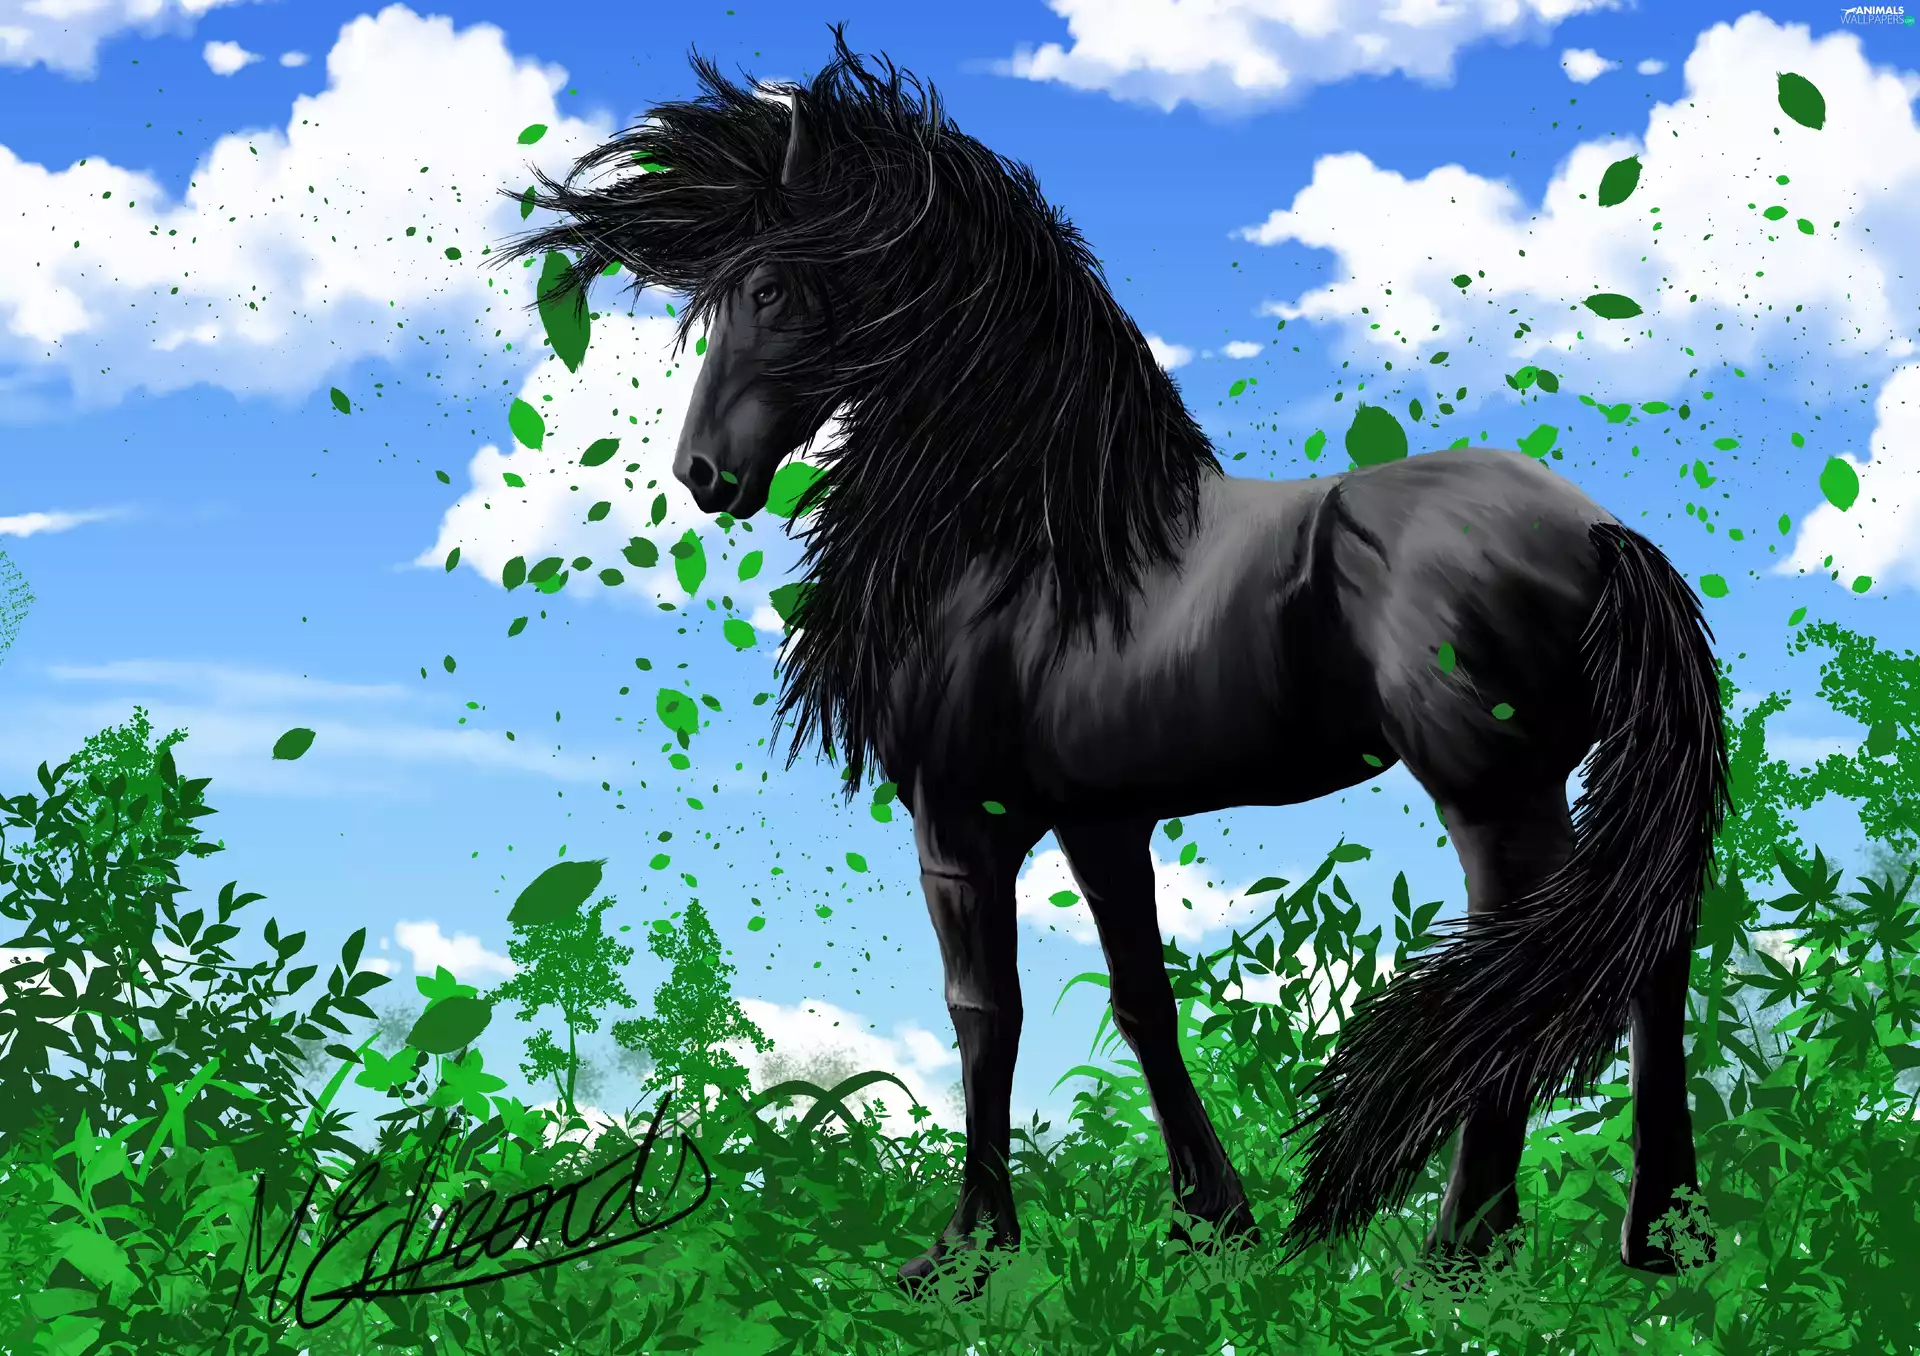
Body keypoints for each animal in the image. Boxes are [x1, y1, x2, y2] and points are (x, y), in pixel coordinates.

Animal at [496, 28, 1730, 1297]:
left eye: (771, 288)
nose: (703, 474)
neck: (1029, 540)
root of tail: (1598, 533)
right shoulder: (1101, 822)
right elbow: (1145, 1004)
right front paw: (1213, 1222)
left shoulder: (961, 820)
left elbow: (986, 1013)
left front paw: (967, 1248)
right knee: (1641, 950)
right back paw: (1661, 1235)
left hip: (1492, 793)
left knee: (1528, 961)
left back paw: (1463, 1244)